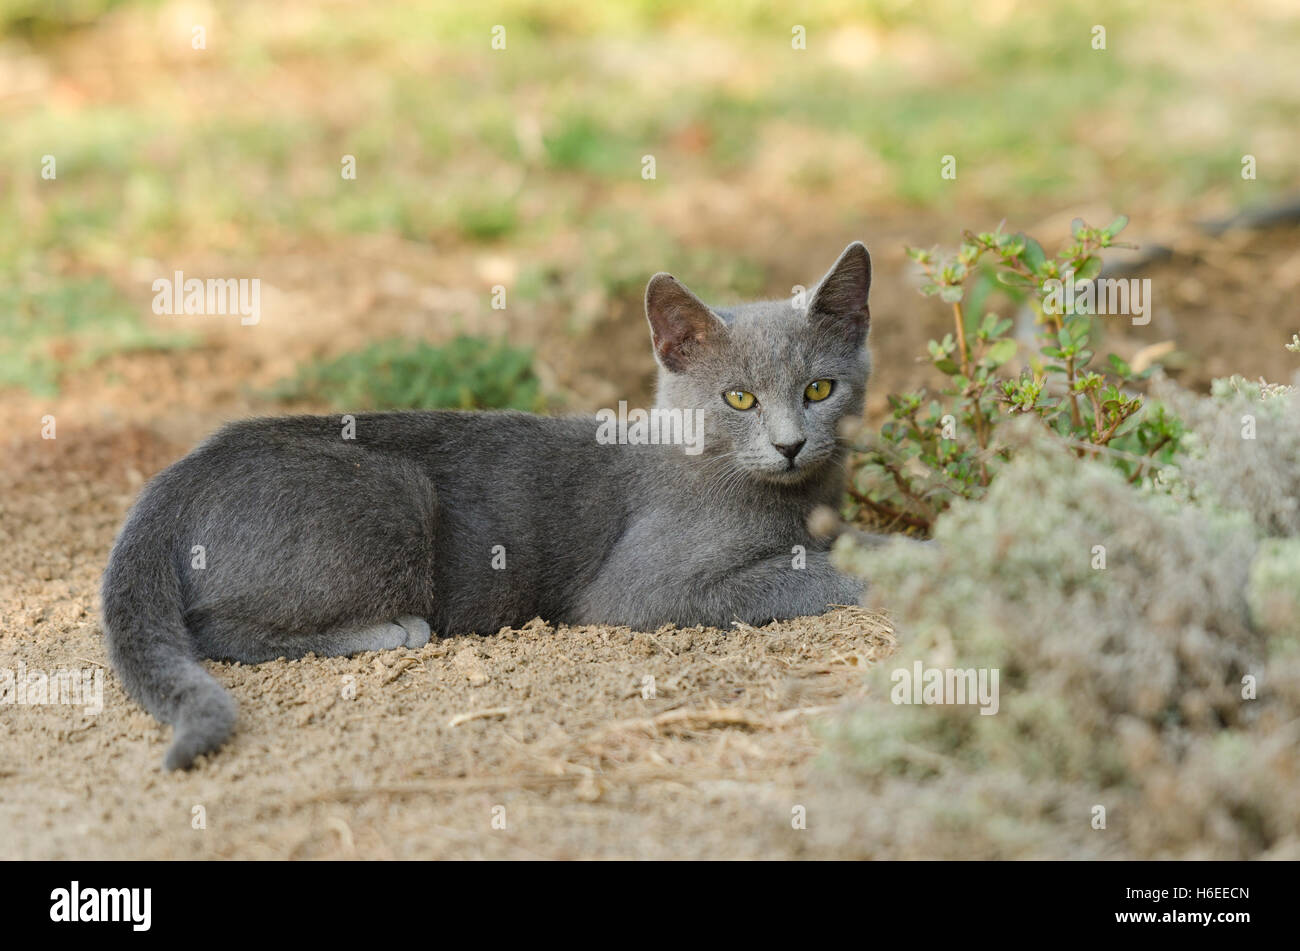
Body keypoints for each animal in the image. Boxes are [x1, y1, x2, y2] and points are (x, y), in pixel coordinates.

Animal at [104, 241, 873, 769]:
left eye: (819, 389)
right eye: (738, 398)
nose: (790, 444)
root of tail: (177, 477)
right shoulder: (643, 588)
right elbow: (794, 574)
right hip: (395, 490)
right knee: (216, 627)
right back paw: (389, 630)